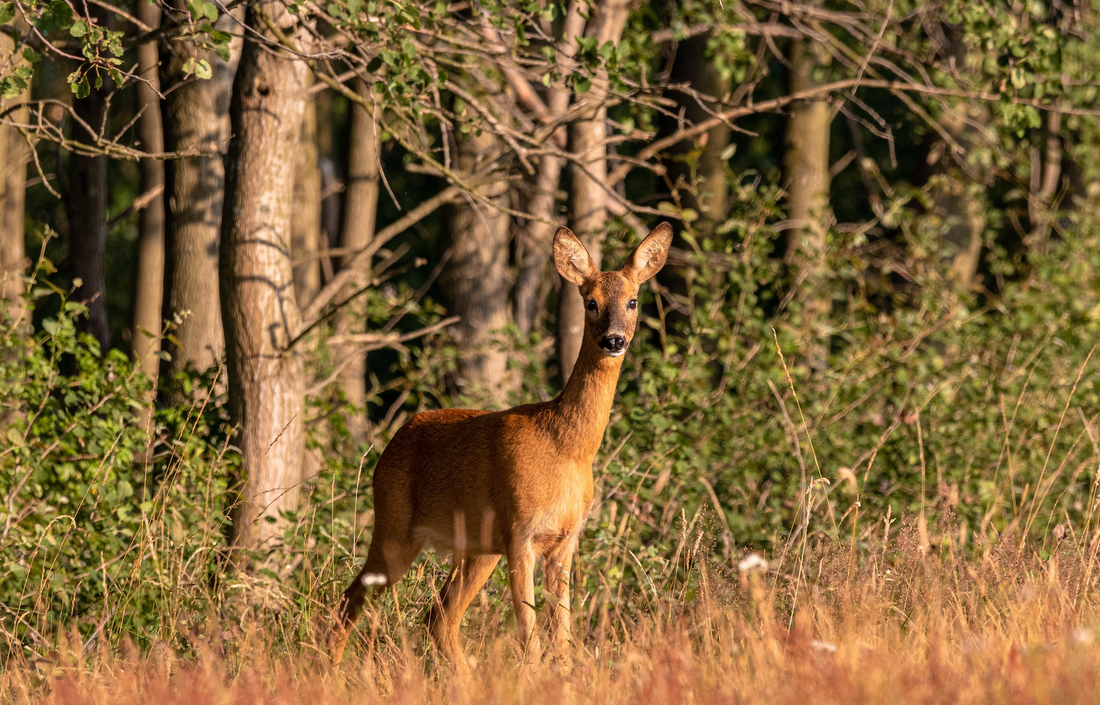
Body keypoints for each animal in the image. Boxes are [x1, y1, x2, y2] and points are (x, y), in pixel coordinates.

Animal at [325, 222, 668, 664]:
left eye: (633, 300)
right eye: (590, 302)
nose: (614, 341)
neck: (566, 448)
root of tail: (393, 441)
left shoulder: (565, 540)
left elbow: (562, 638)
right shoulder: (519, 532)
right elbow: (530, 637)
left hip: (476, 547)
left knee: (437, 618)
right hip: (395, 528)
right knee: (349, 603)